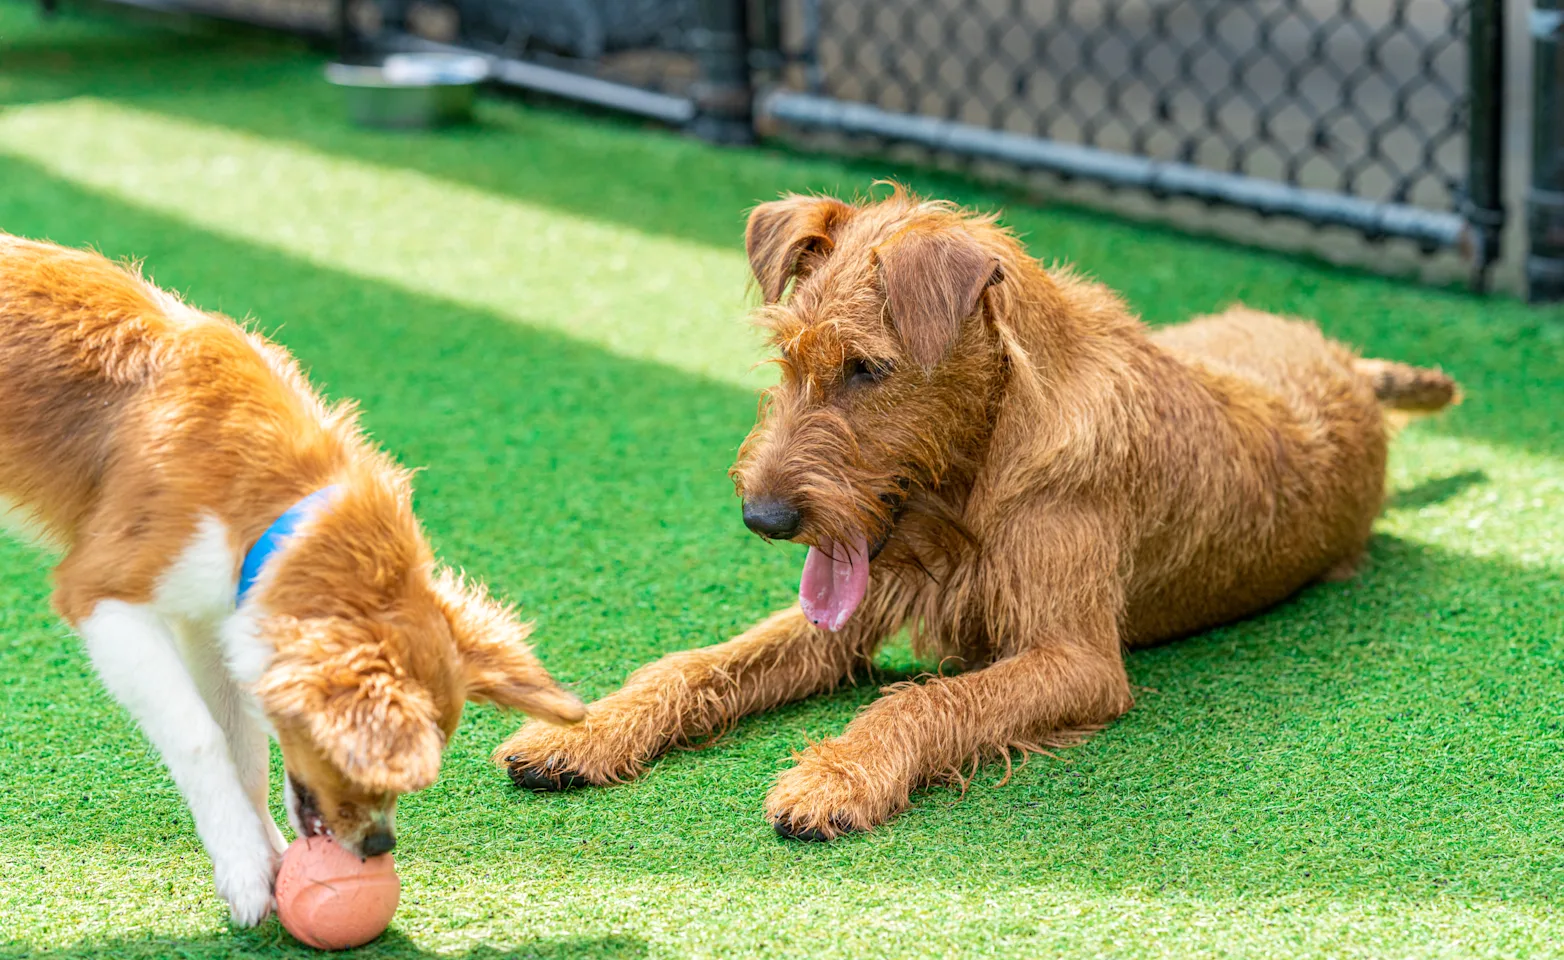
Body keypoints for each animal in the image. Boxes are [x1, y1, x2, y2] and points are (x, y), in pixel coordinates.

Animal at [497, 188, 1451, 844]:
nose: (761, 517)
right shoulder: (846, 618)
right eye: (788, 355)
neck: (979, 468)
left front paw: (839, 774)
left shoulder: (1076, 661)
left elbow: (925, 702)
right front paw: (586, 730)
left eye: (867, 368)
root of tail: (1349, 366)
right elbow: (694, 665)